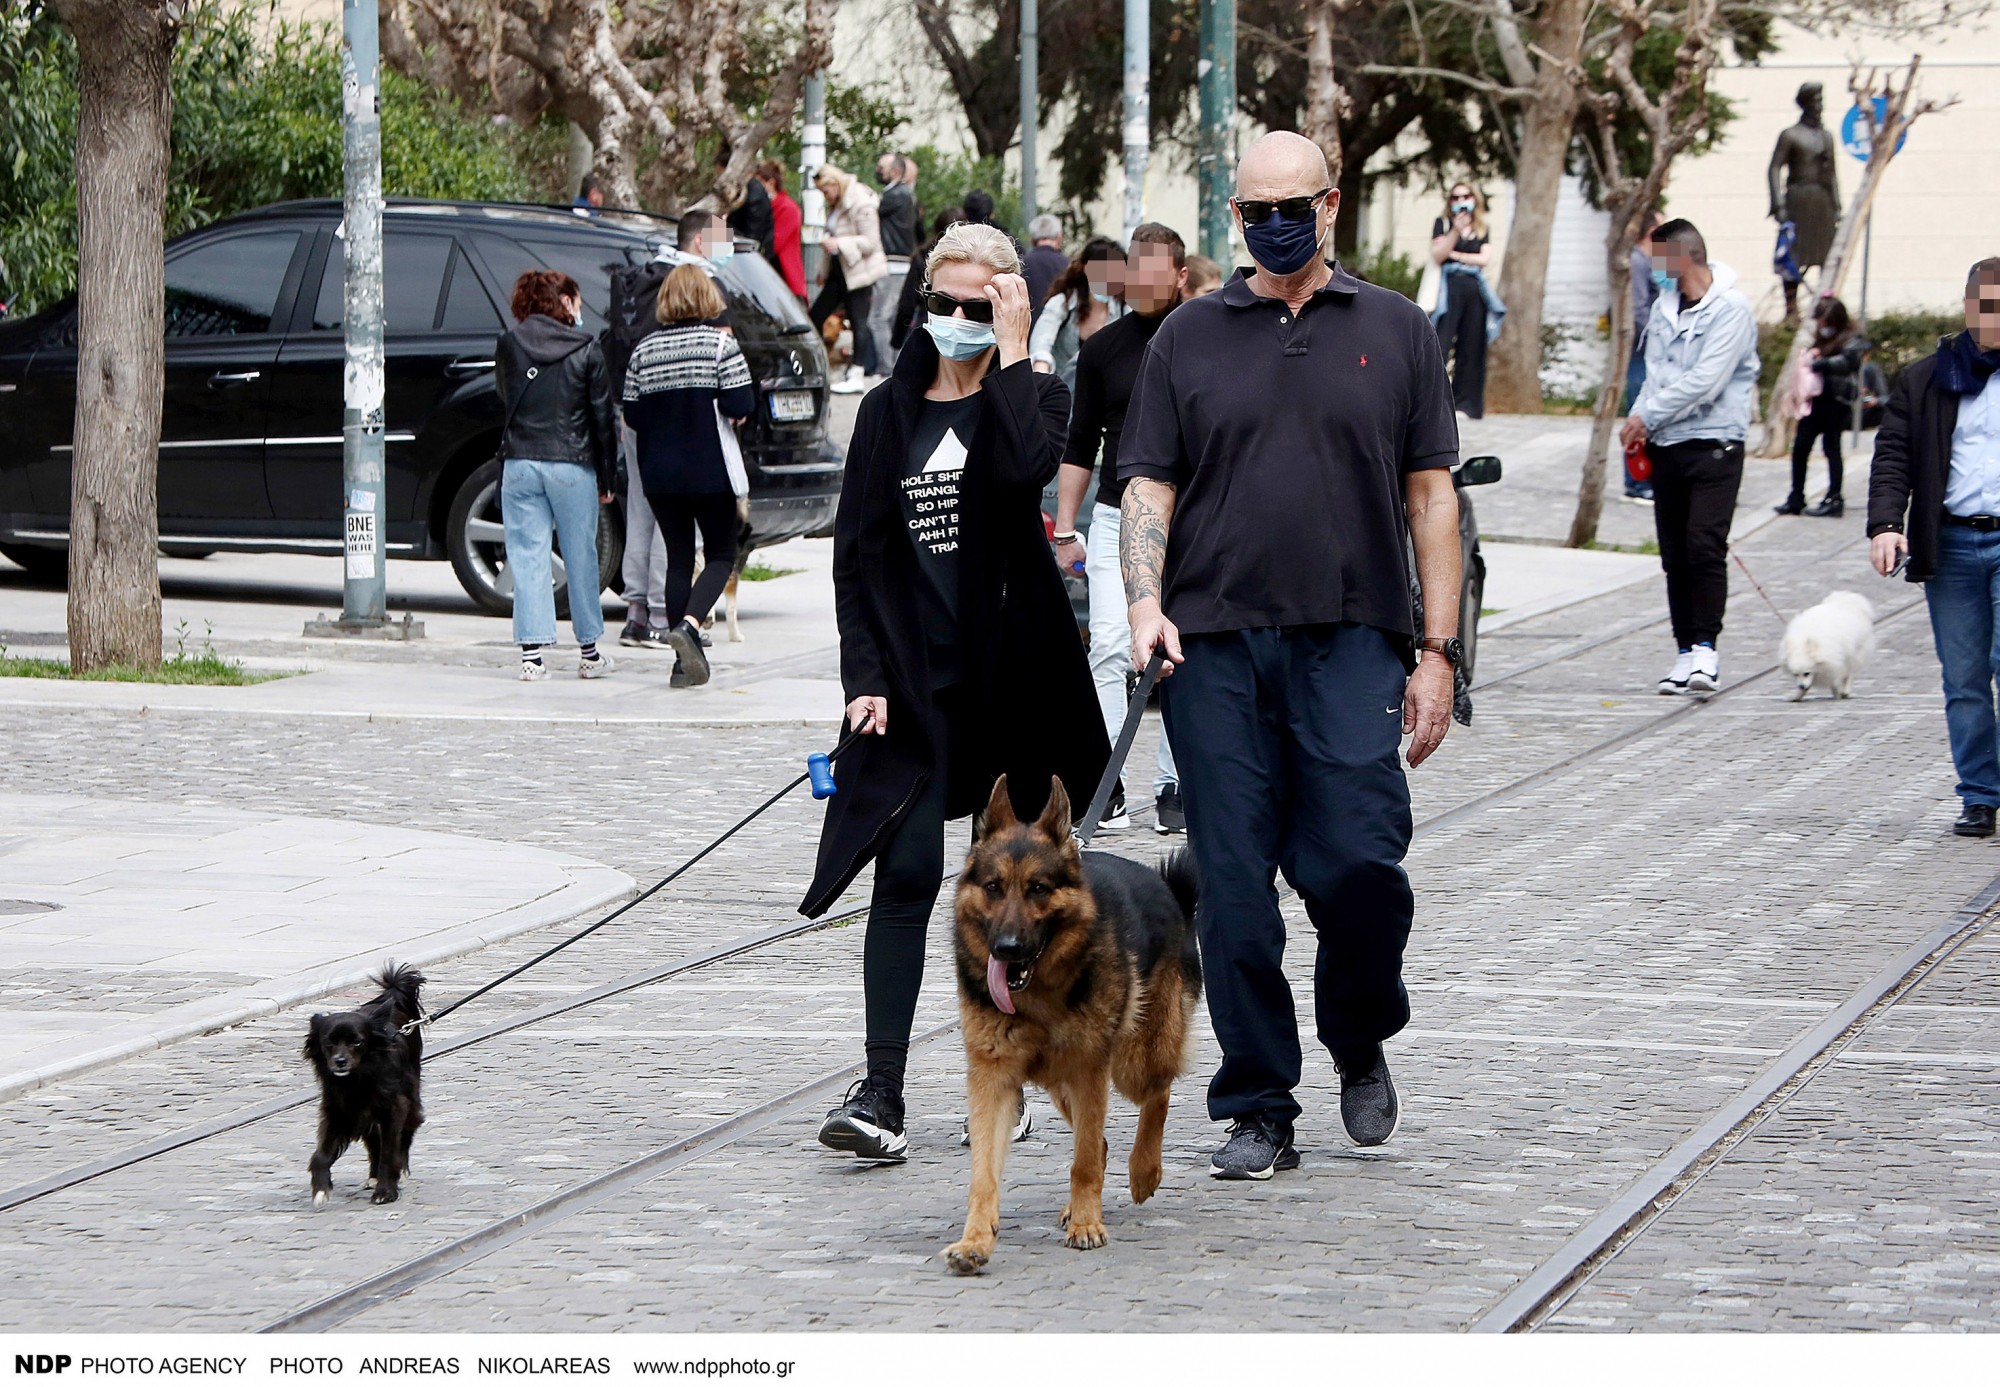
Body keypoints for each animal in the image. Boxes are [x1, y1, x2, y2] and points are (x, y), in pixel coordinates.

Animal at [302, 967, 428, 1207]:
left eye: (357, 1042)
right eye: (328, 1042)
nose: (340, 1061)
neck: (356, 1079)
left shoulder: (393, 1109)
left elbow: (389, 1152)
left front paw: (386, 1191)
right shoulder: (338, 1112)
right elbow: (321, 1155)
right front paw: (321, 1189)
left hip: (409, 1098)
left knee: (405, 1134)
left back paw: (401, 1170)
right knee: (373, 1141)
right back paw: (373, 1176)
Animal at [940, 775, 1200, 1279]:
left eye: (1039, 888)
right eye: (993, 887)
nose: (1005, 949)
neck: (1037, 998)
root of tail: (1168, 891)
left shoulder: (1088, 1073)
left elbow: (1083, 1161)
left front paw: (1086, 1226)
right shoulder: (993, 1082)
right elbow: (985, 1174)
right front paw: (975, 1241)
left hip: (1130, 1063)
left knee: (1156, 1094)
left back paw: (1144, 1171)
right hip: (1063, 1083)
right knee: (1099, 1142)